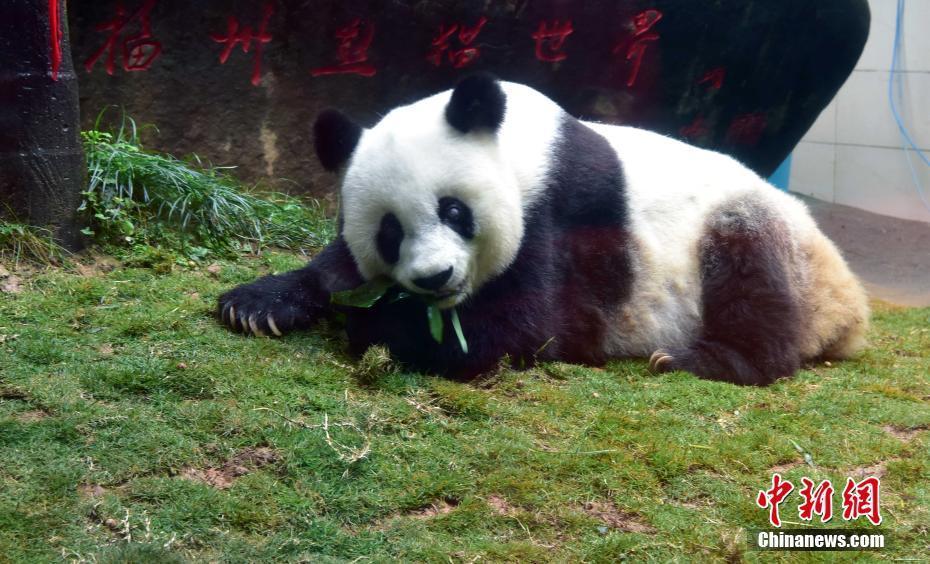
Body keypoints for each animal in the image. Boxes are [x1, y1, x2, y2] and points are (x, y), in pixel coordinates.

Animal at [218, 74, 869, 385]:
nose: (434, 278)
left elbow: (531, 328)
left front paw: (380, 326)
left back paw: (695, 359)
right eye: (389, 232)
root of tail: (849, 304)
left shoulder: (565, 215)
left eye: (454, 211)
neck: (523, 144)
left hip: (750, 228)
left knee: (752, 282)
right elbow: (338, 268)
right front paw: (257, 304)